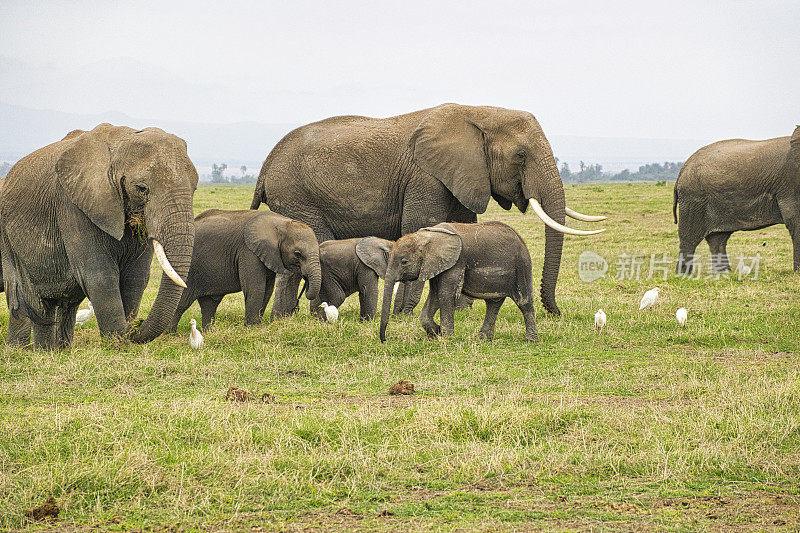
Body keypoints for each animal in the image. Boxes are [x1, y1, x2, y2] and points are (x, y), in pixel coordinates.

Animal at [170, 207, 324, 328]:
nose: (295, 308)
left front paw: (258, 324)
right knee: (182, 302)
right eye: (298, 254)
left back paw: (208, 332)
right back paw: (170, 334)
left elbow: (267, 289)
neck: (281, 223)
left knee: (209, 303)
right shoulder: (248, 251)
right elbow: (256, 287)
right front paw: (253, 327)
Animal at [253, 104, 604, 320]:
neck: (479, 113)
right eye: (520, 156)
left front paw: (461, 309)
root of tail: (266, 163)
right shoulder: (426, 176)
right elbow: (421, 227)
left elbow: (463, 228)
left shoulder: (464, 174)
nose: (555, 313)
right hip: (297, 195)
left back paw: (285, 319)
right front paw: (403, 314)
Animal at [380, 222, 536, 342]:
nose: (384, 340)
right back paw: (483, 338)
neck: (428, 236)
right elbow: (436, 295)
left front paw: (446, 338)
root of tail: (520, 238)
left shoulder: (456, 263)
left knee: (524, 301)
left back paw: (530, 340)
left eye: (404, 262)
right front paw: (436, 333)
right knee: (493, 304)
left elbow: (446, 295)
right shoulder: (438, 264)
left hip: (521, 265)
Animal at [676, 126, 800, 272]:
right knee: (690, 238)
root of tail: (682, 169)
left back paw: (724, 273)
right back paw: (683, 275)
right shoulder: (790, 182)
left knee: (718, 238)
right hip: (693, 199)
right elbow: (795, 220)